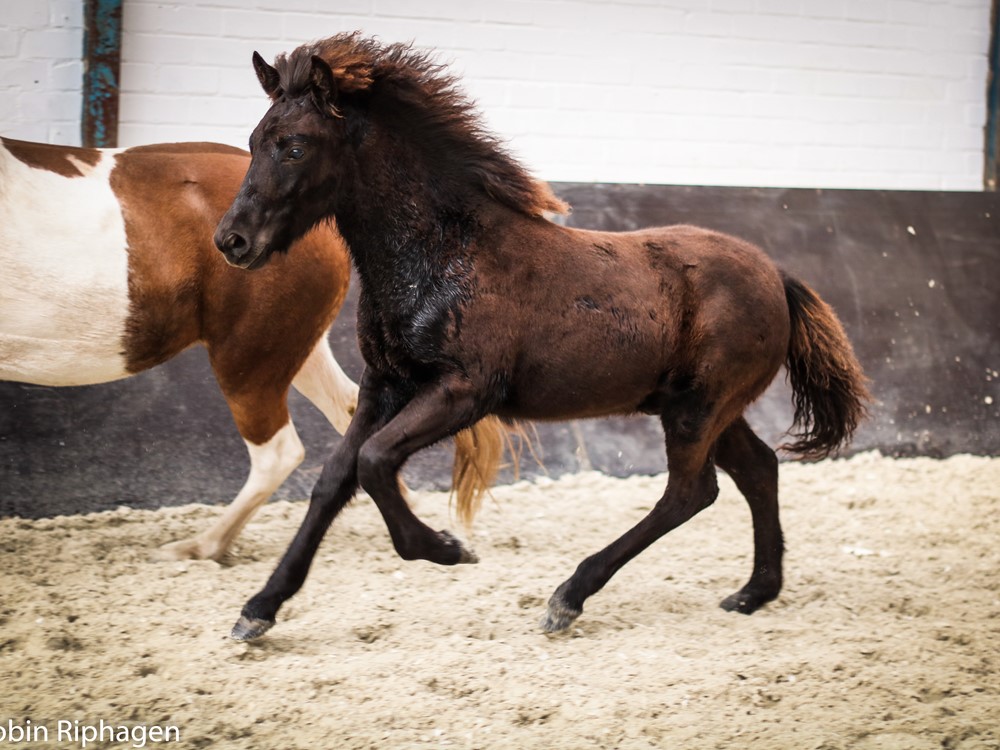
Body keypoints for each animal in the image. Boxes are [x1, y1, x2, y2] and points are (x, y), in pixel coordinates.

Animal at [217, 35, 868, 644]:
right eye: (252, 140)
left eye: (295, 146)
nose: (232, 241)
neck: (442, 254)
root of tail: (776, 275)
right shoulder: (386, 385)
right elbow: (334, 480)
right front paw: (258, 609)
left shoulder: (466, 389)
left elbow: (375, 462)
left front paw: (448, 548)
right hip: (705, 408)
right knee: (757, 470)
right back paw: (754, 592)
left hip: (700, 406)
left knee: (690, 491)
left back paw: (568, 597)